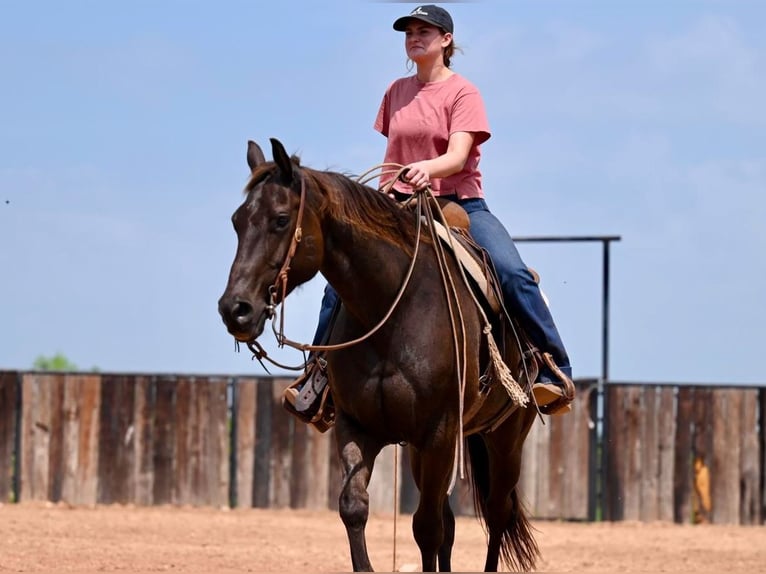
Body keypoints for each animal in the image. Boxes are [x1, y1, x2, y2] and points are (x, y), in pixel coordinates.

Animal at [216, 138, 540, 572]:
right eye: (237, 221)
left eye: (281, 219)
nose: (235, 309)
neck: (393, 308)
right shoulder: (357, 425)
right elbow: (355, 507)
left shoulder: (439, 432)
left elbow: (426, 528)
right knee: (452, 523)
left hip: (505, 437)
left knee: (496, 513)